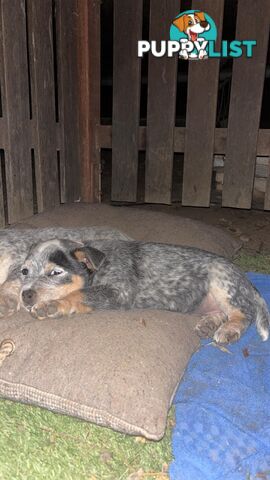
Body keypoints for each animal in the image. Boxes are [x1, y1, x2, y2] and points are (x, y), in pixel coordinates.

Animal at [19, 237, 270, 344]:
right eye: (24, 271)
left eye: (55, 273)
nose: (26, 294)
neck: (99, 268)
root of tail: (246, 280)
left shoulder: (119, 293)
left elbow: (79, 294)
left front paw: (51, 305)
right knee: (221, 312)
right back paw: (209, 324)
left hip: (221, 280)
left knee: (243, 314)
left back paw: (229, 330)